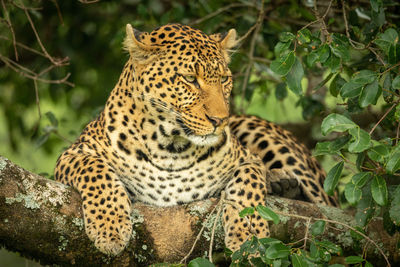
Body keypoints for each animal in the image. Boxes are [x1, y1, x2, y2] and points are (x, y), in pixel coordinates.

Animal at [53, 24, 334, 258]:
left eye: (224, 79)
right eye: (189, 79)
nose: (220, 120)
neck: (169, 147)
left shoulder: (247, 159)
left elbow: (248, 185)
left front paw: (250, 237)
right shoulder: (73, 153)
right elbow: (96, 170)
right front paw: (109, 228)